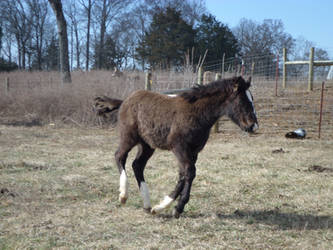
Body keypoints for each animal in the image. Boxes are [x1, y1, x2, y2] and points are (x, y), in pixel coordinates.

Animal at [94, 75, 258, 217]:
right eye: (242, 101)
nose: (253, 126)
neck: (197, 113)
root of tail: (124, 101)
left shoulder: (193, 151)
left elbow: (183, 175)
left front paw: (161, 207)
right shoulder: (179, 147)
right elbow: (190, 172)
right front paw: (178, 208)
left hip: (147, 145)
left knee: (137, 165)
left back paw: (147, 205)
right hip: (129, 137)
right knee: (119, 156)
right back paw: (123, 195)